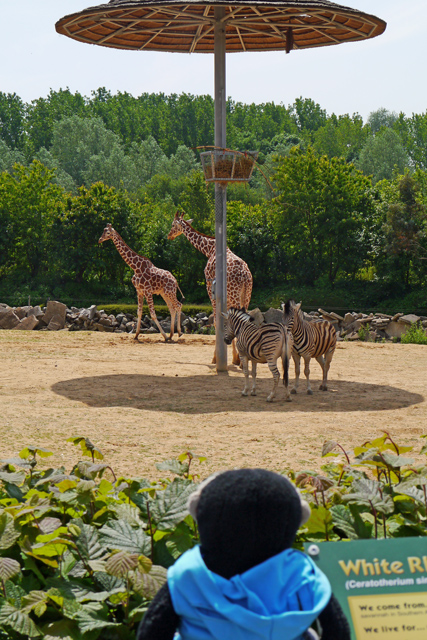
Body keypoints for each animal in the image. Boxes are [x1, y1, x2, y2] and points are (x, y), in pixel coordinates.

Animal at [168, 211, 254, 364]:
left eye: (173, 225)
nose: (169, 235)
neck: (209, 249)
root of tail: (244, 274)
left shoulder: (210, 288)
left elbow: (216, 322)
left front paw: (216, 358)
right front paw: (232, 357)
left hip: (235, 295)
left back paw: (239, 359)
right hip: (246, 294)